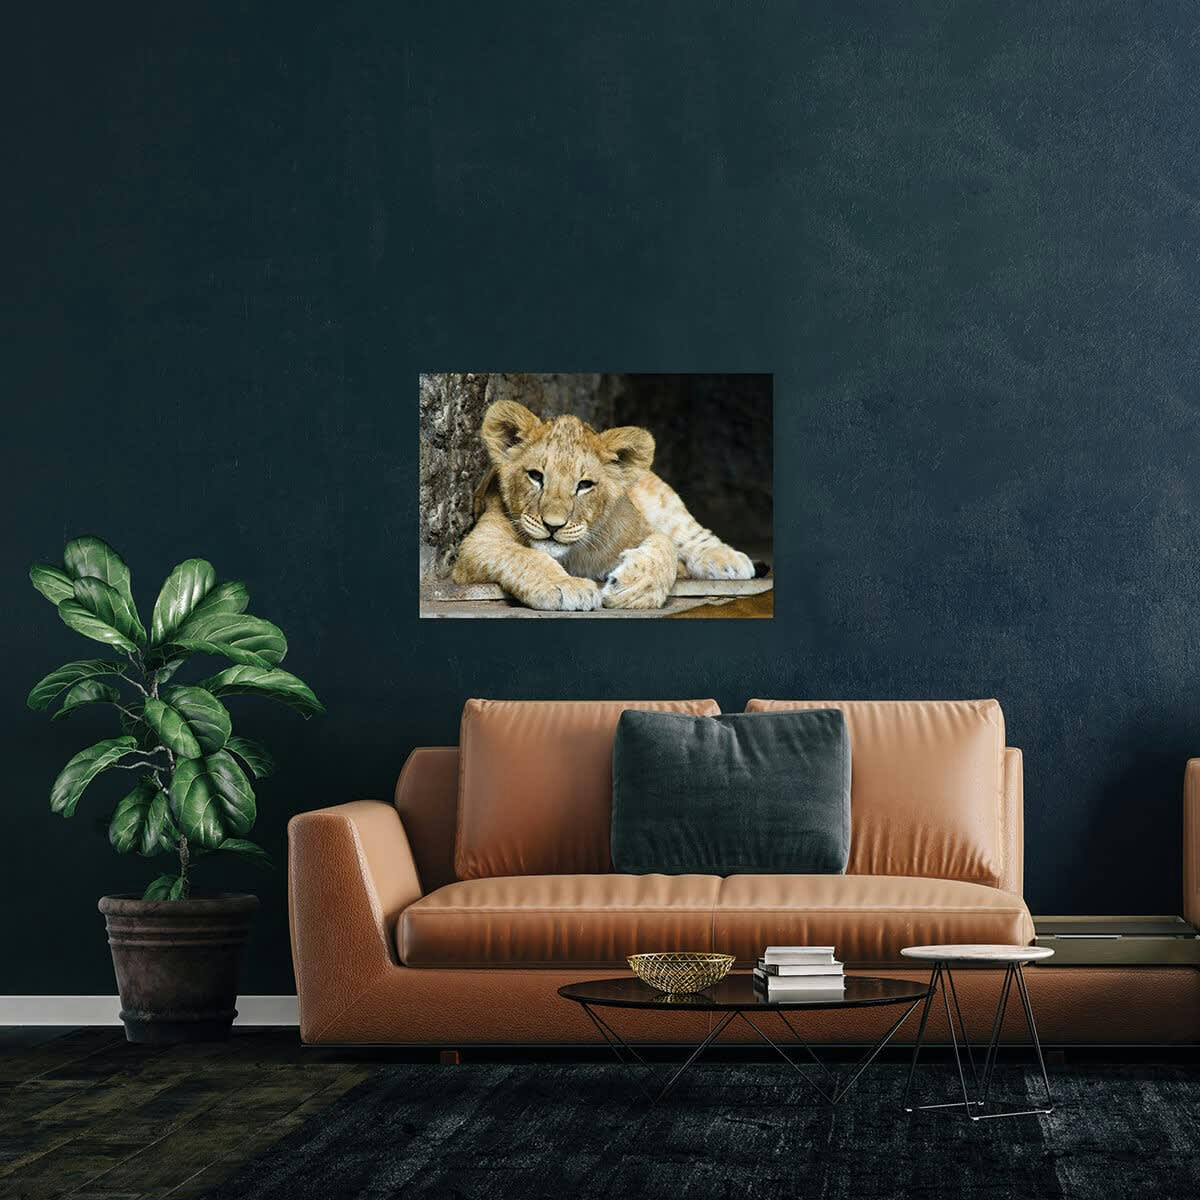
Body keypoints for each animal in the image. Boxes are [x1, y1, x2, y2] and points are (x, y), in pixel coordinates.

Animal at [452, 400, 756, 610]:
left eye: (584, 485)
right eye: (536, 476)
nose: (553, 525)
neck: (571, 556)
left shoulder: (637, 528)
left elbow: (665, 545)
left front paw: (635, 590)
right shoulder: (476, 547)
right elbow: (524, 556)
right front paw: (567, 586)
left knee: (689, 532)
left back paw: (729, 560)